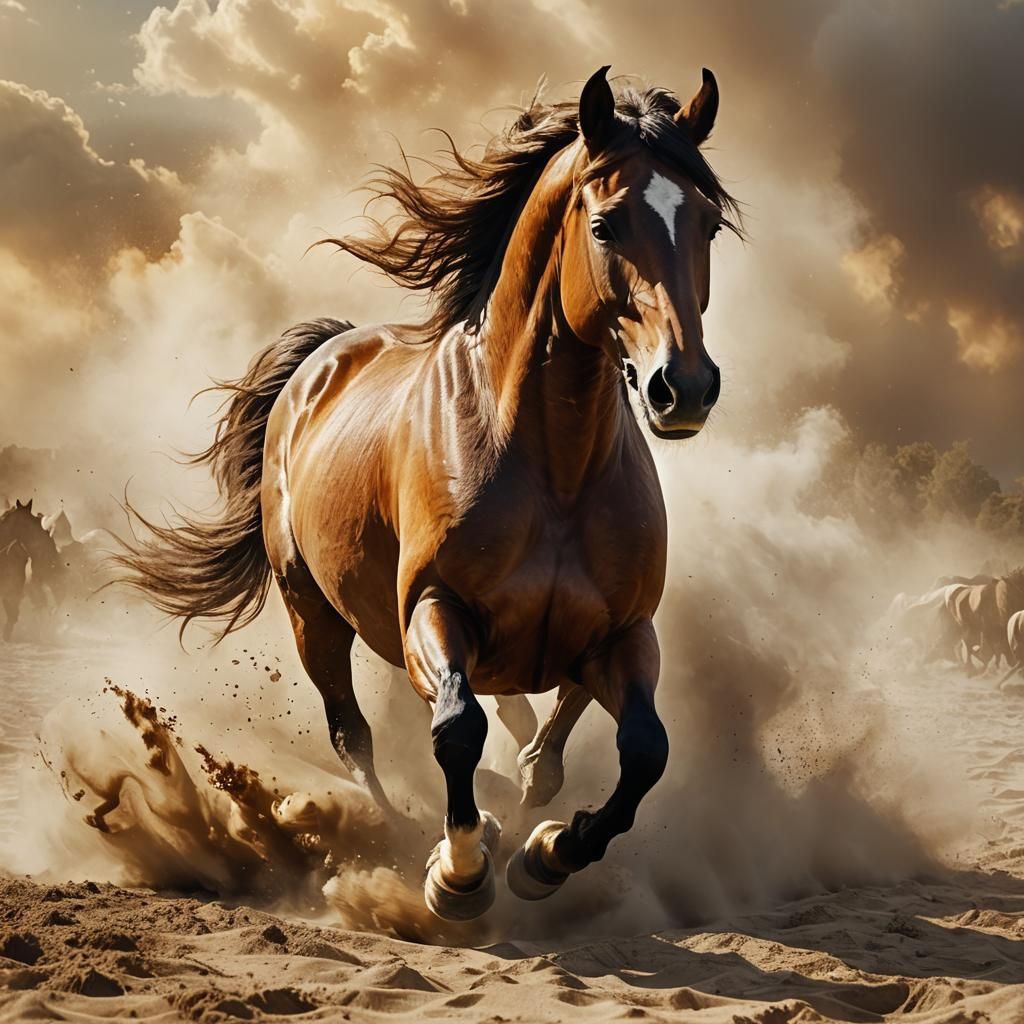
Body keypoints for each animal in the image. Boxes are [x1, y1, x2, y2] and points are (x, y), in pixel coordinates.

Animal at [114, 66, 740, 920]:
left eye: (707, 225)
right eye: (606, 226)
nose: (684, 387)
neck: (555, 472)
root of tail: (322, 359)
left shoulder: (622, 632)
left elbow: (641, 750)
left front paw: (547, 853)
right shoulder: (435, 607)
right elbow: (456, 729)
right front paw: (460, 871)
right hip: (313, 614)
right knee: (356, 735)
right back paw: (398, 835)